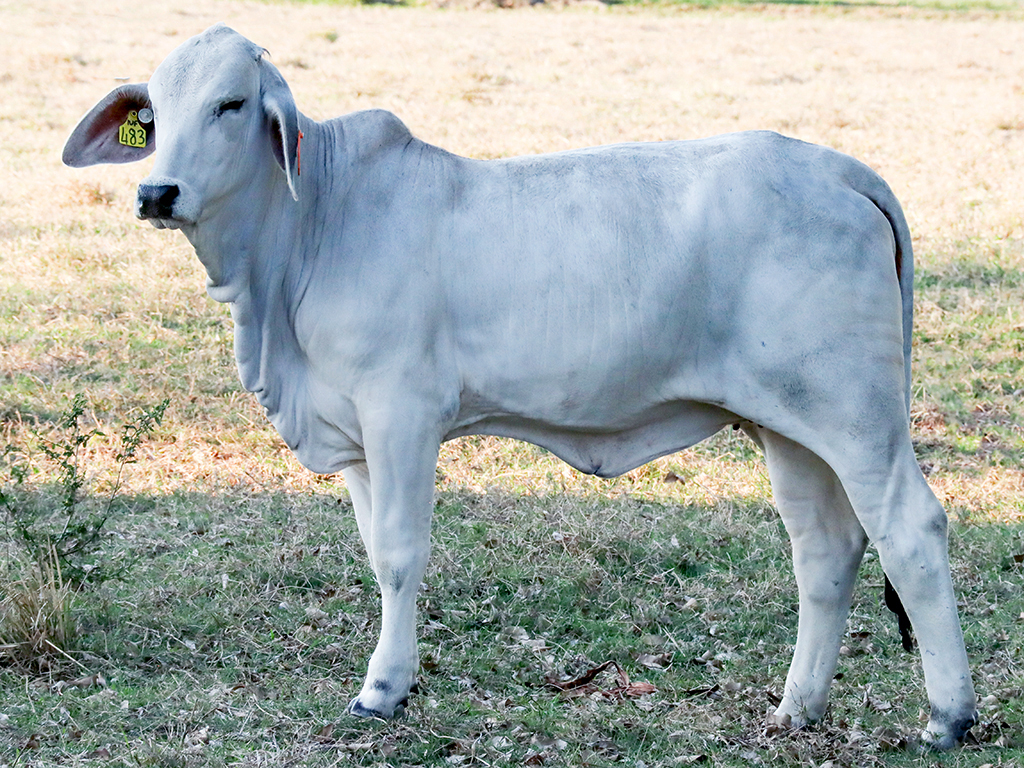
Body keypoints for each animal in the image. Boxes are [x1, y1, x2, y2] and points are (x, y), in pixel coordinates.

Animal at [62, 24, 976, 747]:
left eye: (229, 104)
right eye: (157, 112)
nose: (156, 191)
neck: (303, 234)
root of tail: (840, 170)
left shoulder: (401, 415)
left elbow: (401, 554)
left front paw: (382, 691)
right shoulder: (353, 437)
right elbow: (374, 551)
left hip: (857, 415)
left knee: (911, 529)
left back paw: (948, 716)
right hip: (787, 424)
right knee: (826, 548)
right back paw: (796, 708)